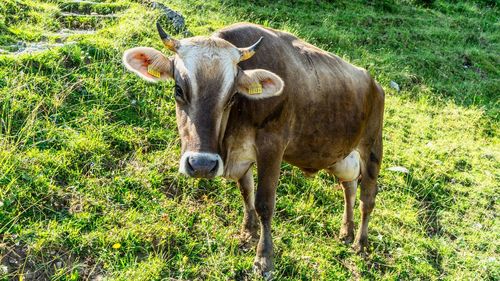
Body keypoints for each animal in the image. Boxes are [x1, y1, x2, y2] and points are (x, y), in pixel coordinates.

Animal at [123, 22, 384, 278]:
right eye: (178, 89)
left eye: (231, 96)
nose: (202, 165)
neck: (231, 135)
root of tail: (374, 82)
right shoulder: (240, 155)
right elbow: (246, 191)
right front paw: (248, 232)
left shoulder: (272, 146)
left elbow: (264, 203)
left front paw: (264, 259)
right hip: (340, 156)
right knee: (349, 186)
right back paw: (346, 231)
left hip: (372, 146)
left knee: (367, 198)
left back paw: (361, 243)